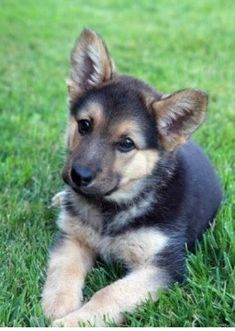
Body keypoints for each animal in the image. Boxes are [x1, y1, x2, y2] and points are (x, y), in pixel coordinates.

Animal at [41, 28, 222, 326]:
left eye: (126, 144)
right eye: (84, 125)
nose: (79, 176)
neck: (112, 206)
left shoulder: (164, 266)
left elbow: (109, 294)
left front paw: (72, 322)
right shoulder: (73, 237)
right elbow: (63, 270)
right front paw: (58, 306)